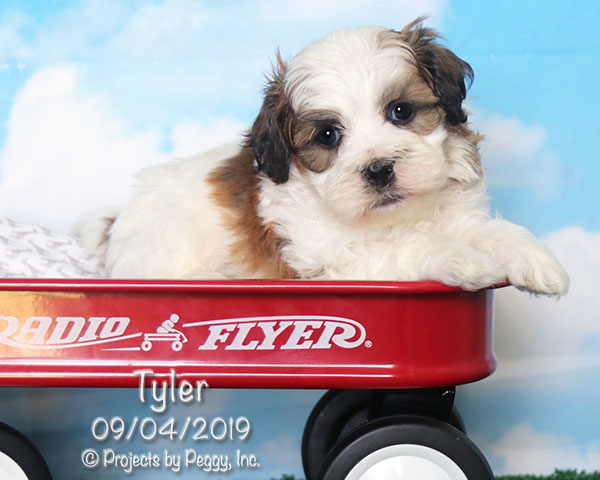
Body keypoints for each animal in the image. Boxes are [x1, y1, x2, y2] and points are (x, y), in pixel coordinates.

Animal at [79, 18, 569, 296]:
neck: (389, 220)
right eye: (329, 136)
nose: (379, 170)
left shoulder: (453, 213)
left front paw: (536, 258)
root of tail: (117, 222)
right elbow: (411, 248)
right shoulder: (334, 263)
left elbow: (488, 229)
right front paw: (464, 261)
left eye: (401, 111)